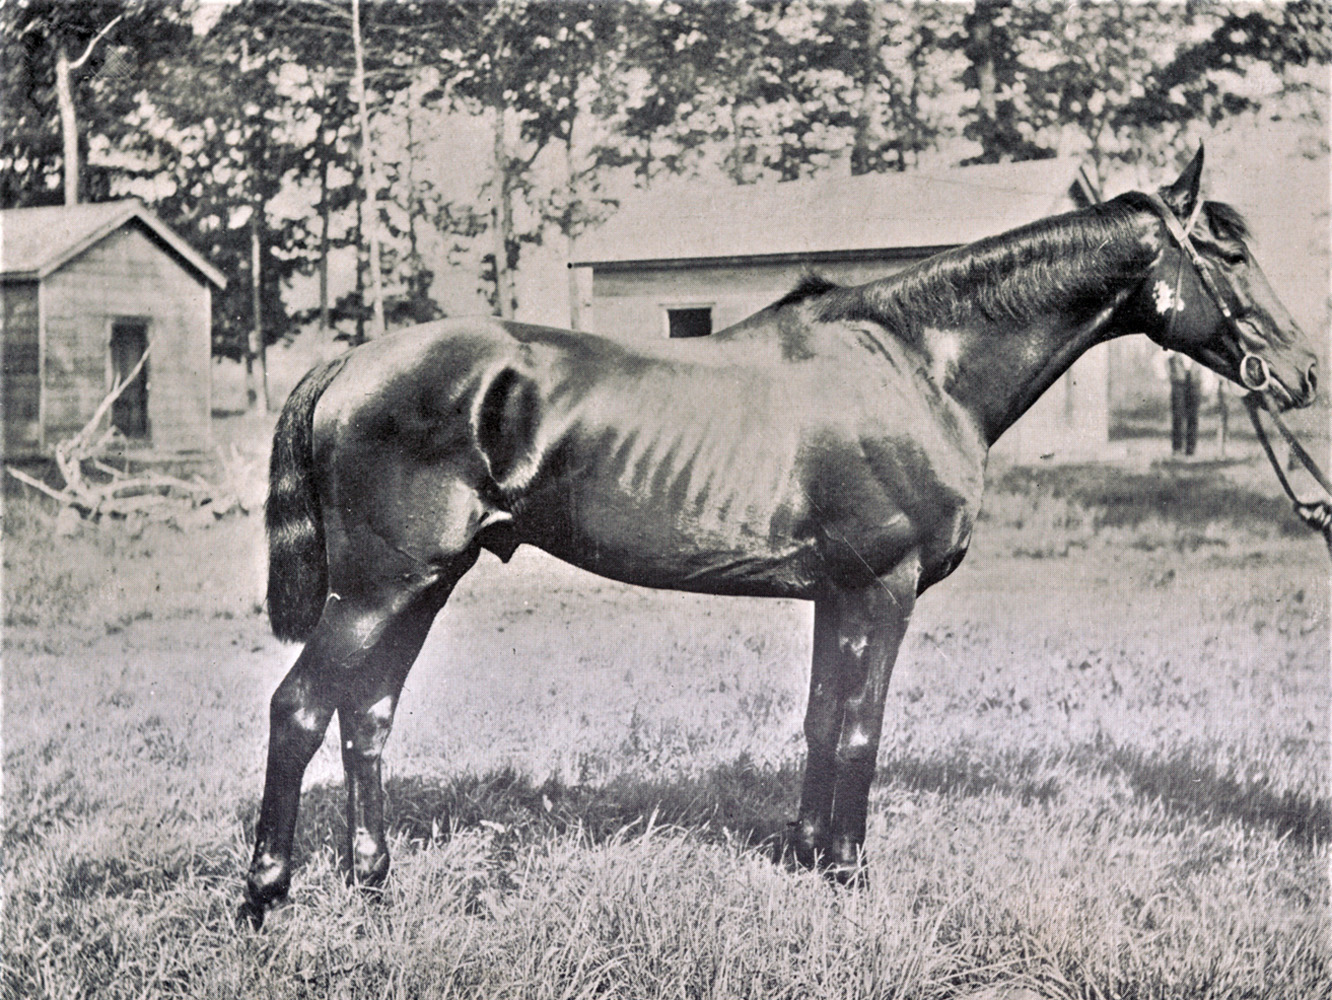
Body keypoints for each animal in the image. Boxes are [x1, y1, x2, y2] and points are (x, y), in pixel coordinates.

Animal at [237, 150, 1310, 932]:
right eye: (1227, 255)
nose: (1298, 375)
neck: (919, 367)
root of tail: (350, 364)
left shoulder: (838, 593)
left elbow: (820, 720)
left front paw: (806, 856)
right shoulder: (883, 588)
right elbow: (862, 726)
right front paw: (852, 875)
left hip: (424, 584)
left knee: (368, 715)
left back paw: (376, 888)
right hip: (381, 587)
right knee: (299, 709)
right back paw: (264, 896)